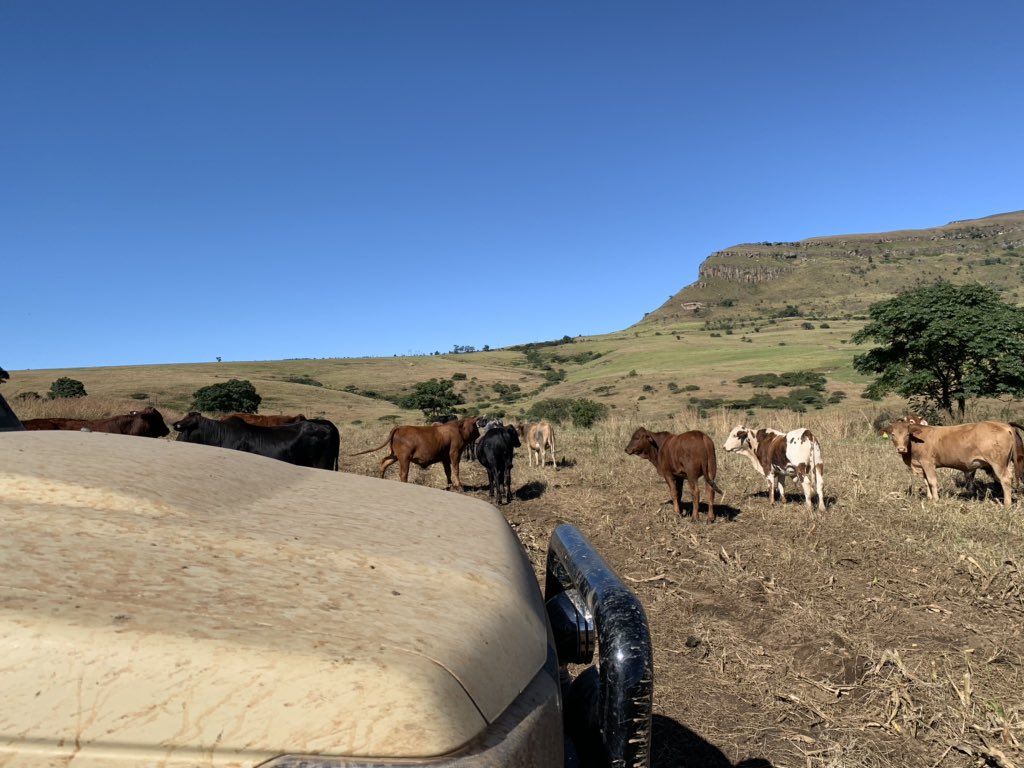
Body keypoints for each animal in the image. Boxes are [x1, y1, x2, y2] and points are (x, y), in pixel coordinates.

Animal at [350, 415, 480, 491]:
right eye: (475, 425)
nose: (479, 434)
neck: (458, 429)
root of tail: (399, 427)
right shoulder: (455, 453)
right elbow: (456, 470)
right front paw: (459, 486)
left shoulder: (445, 458)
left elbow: (448, 471)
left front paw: (450, 485)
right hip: (404, 458)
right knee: (403, 474)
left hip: (395, 456)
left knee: (384, 463)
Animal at [885, 419, 1023, 508]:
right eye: (893, 435)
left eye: (907, 434)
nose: (901, 449)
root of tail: (1004, 425)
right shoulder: (922, 466)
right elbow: (926, 482)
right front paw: (929, 498)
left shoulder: (928, 463)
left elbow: (932, 481)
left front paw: (935, 499)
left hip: (998, 464)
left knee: (1006, 479)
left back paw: (1006, 504)